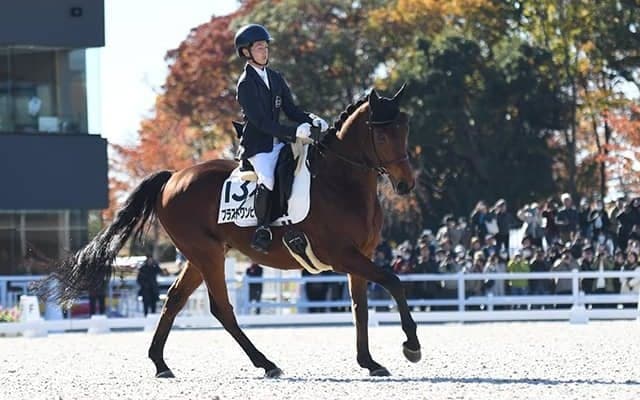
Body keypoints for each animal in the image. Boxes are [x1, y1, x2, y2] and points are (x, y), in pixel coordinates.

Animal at [37, 84, 421, 378]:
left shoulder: (360, 255)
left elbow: (360, 307)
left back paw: (161, 363)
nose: (405, 185)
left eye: (405, 128)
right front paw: (411, 346)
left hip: (201, 255)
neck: (341, 183)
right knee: (221, 307)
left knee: (174, 299)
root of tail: (172, 177)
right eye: (382, 133)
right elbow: (395, 282)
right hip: (206, 254)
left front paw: (369, 362)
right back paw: (266, 363)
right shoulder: (342, 255)